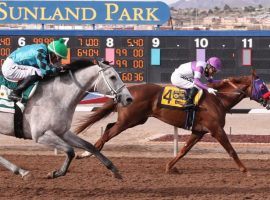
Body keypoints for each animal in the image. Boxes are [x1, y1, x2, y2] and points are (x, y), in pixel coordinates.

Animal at [0, 59, 133, 180]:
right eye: (113, 77)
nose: (129, 99)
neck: (56, 97)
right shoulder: (40, 135)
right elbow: (70, 151)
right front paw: (56, 173)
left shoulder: (62, 132)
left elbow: (89, 146)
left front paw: (114, 170)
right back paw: (22, 171)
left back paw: (21, 171)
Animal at [76, 72, 268, 175]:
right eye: (263, 87)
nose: (269, 99)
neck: (217, 99)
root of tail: (124, 93)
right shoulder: (216, 129)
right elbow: (231, 150)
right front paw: (246, 170)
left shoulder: (199, 131)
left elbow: (184, 150)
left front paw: (170, 167)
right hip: (129, 120)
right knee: (108, 133)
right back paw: (86, 154)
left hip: (134, 120)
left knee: (108, 128)